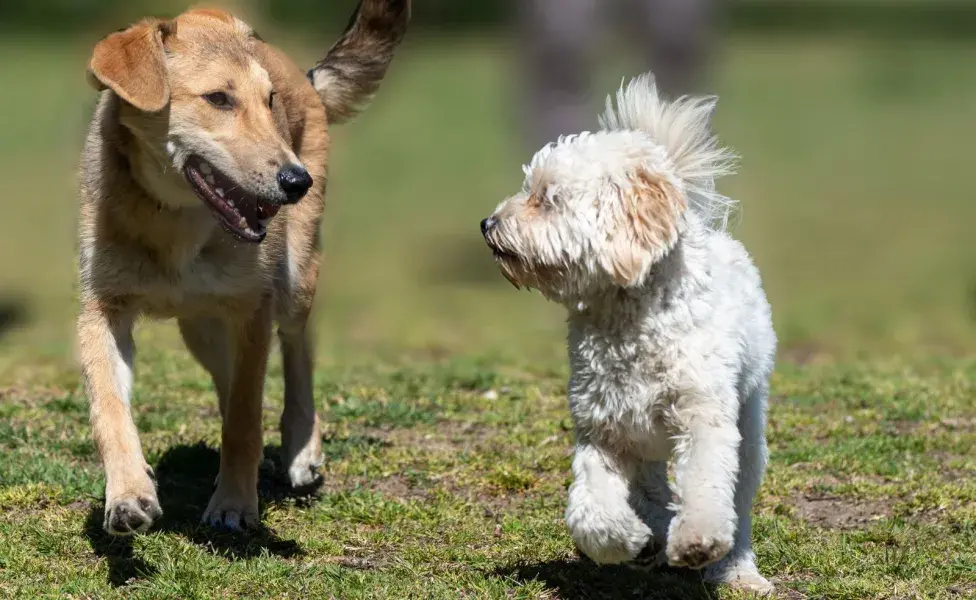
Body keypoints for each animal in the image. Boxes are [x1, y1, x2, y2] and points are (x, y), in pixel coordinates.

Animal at [78, 0, 410, 536]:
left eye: (269, 101)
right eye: (218, 98)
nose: (296, 181)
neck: (173, 221)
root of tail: (305, 76)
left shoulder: (253, 310)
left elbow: (245, 418)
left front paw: (234, 503)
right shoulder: (102, 310)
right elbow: (110, 410)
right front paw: (128, 494)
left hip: (294, 282)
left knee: (297, 351)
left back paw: (301, 448)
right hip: (201, 327)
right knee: (227, 377)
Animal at [482, 72, 776, 592]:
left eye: (546, 197)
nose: (487, 224)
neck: (628, 319)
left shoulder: (703, 417)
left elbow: (705, 486)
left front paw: (697, 541)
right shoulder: (604, 430)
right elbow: (590, 512)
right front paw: (629, 541)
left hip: (748, 423)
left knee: (736, 503)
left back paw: (737, 568)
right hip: (644, 442)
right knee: (653, 487)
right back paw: (653, 535)